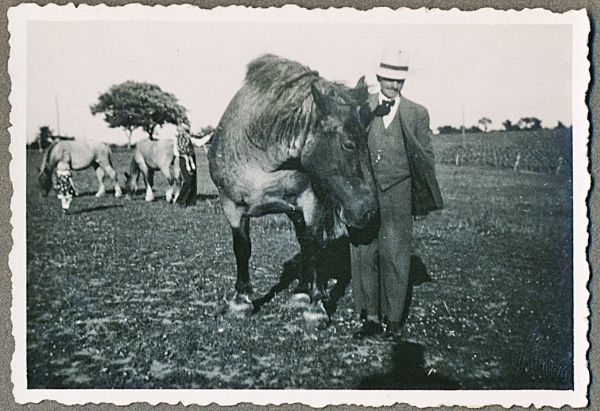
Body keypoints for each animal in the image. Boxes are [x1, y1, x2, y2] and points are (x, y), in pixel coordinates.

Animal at [209, 54, 378, 318]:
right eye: (349, 144)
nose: (369, 212)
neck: (264, 161)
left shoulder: (310, 202)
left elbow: (313, 245)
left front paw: (316, 305)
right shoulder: (231, 205)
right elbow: (242, 248)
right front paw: (241, 300)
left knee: (307, 242)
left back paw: (305, 292)